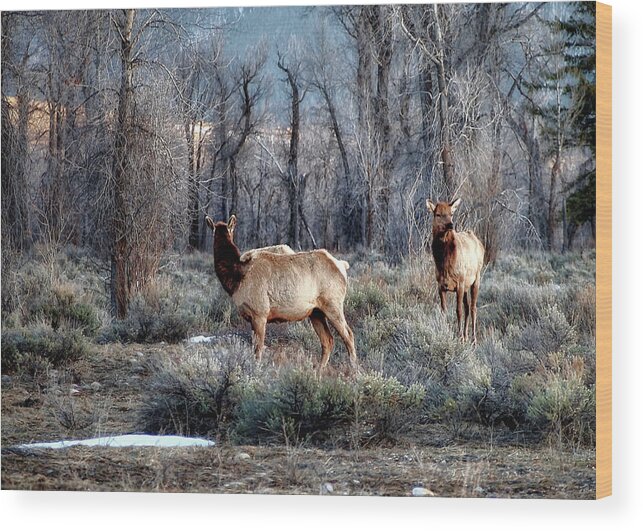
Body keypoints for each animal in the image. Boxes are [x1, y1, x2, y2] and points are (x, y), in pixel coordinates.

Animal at [205, 214, 358, 372]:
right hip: (316, 312)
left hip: (333, 304)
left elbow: (258, 350)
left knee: (349, 335)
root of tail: (342, 266)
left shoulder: (260, 313)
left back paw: (354, 369)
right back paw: (317, 370)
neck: (236, 278)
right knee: (328, 340)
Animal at [428, 197, 484, 342]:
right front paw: (447, 332)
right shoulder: (441, 285)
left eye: (451, 213)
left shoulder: (459, 283)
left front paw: (459, 336)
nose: (450, 225)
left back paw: (473, 338)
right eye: (438, 214)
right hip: (466, 286)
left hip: (476, 278)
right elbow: (444, 310)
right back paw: (466, 336)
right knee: (467, 307)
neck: (444, 265)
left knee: (473, 307)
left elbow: (458, 311)